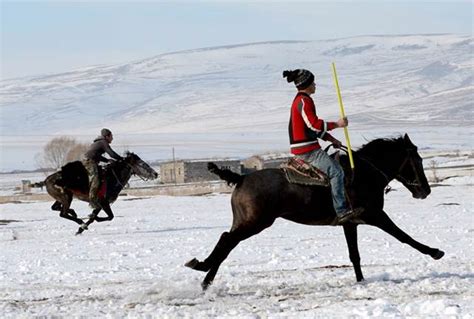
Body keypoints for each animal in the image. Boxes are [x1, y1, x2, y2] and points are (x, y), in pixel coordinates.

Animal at [187, 134, 446, 292]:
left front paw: (361, 281)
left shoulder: (350, 222)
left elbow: (355, 254)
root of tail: (240, 177)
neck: (364, 173)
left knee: (226, 242)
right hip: (255, 222)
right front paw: (435, 252)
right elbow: (403, 236)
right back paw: (202, 270)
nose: (425, 190)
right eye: (417, 159)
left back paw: (205, 278)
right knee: (226, 241)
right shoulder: (375, 215)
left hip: (245, 221)